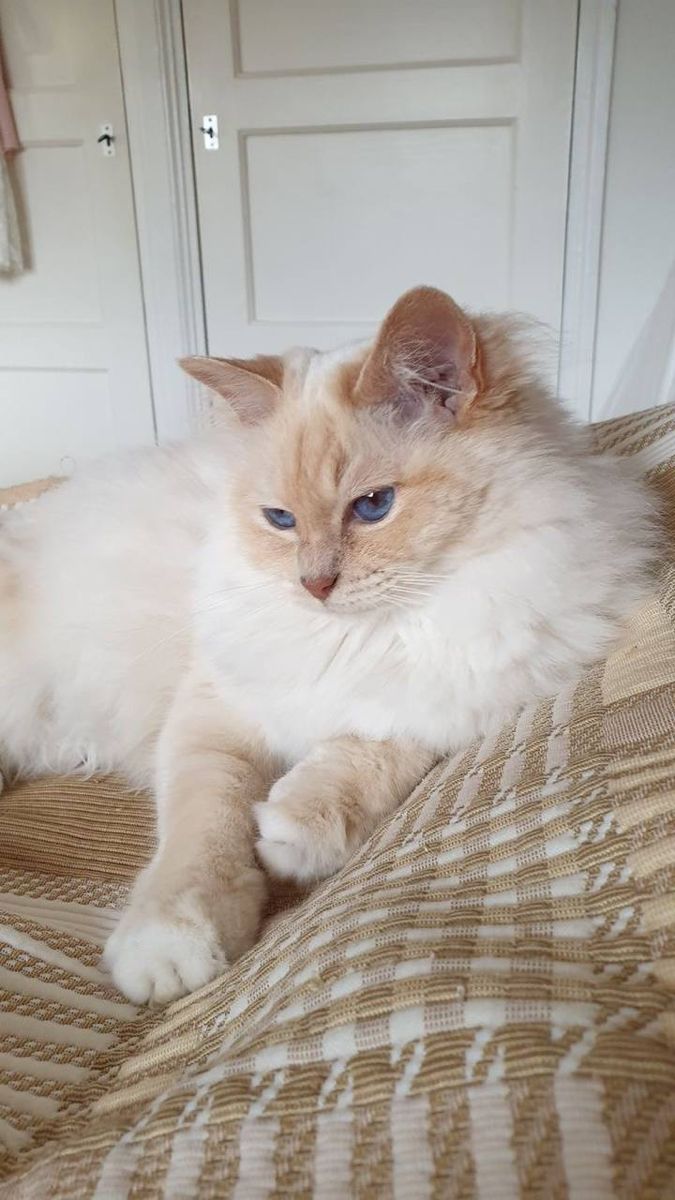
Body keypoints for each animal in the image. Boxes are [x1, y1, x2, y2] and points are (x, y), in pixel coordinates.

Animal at [0, 288, 653, 1003]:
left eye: (372, 506)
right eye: (279, 520)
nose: (313, 586)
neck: (367, 634)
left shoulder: (461, 697)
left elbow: (372, 750)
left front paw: (297, 830)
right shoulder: (214, 713)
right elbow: (204, 832)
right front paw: (172, 947)